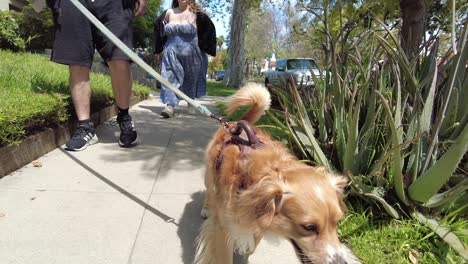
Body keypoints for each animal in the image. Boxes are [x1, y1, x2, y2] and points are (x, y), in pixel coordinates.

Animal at [196, 83, 360, 264]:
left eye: (337, 222)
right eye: (309, 227)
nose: (341, 263)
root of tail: (234, 125)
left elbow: (251, 240)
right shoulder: (220, 229)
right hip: (209, 177)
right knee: (209, 191)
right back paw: (206, 208)